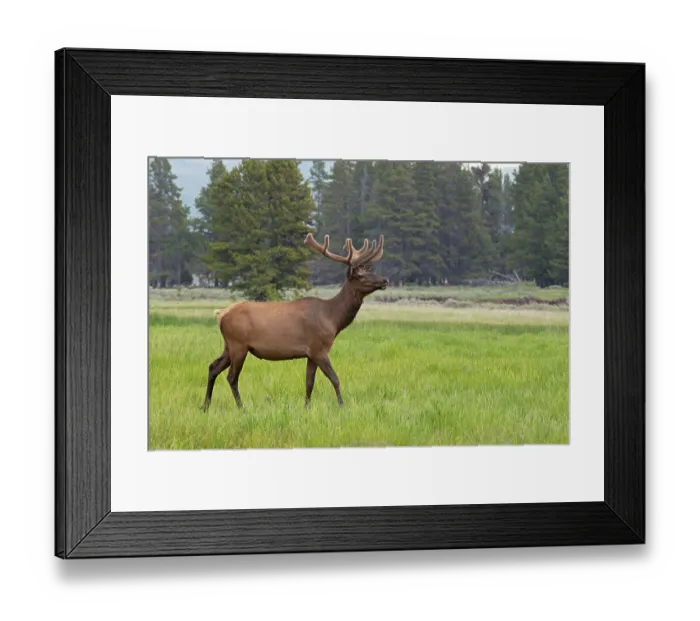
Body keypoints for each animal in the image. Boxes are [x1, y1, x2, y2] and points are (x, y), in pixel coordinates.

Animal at [201, 233, 388, 411]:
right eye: (360, 275)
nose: (384, 280)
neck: (333, 319)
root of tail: (221, 314)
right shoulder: (319, 348)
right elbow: (334, 378)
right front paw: (342, 405)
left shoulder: (311, 353)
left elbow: (309, 382)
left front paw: (306, 407)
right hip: (238, 344)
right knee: (231, 376)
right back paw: (241, 407)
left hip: (229, 345)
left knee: (213, 367)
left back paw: (205, 405)